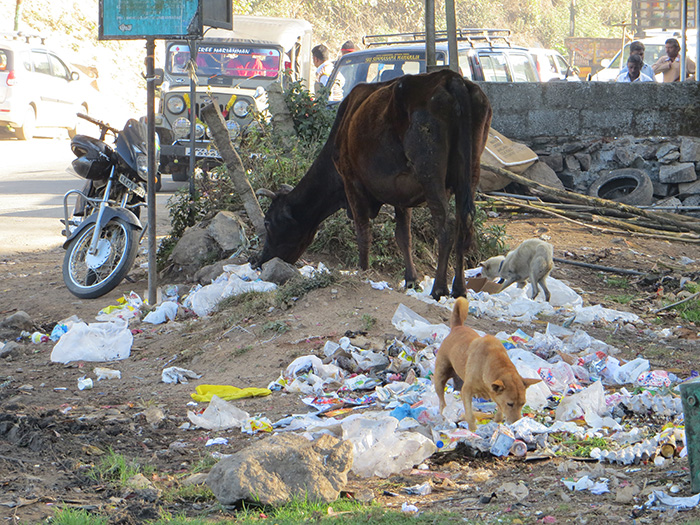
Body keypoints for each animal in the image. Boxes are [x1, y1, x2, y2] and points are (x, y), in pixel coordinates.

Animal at [258, 69, 492, 298]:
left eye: (268, 222)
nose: (259, 261)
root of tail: (451, 77)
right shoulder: (401, 193)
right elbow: (403, 237)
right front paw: (411, 280)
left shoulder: (351, 182)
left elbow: (363, 232)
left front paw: (362, 273)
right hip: (471, 170)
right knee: (464, 221)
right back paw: (459, 289)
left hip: (429, 169)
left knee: (446, 224)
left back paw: (439, 288)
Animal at [432, 296, 540, 428]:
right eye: (510, 404)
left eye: (523, 403)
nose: (516, 423)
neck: (491, 363)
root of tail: (457, 327)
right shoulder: (466, 391)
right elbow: (470, 415)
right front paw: (473, 430)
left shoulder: (496, 395)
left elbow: (499, 411)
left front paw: (496, 421)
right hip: (440, 378)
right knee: (442, 402)